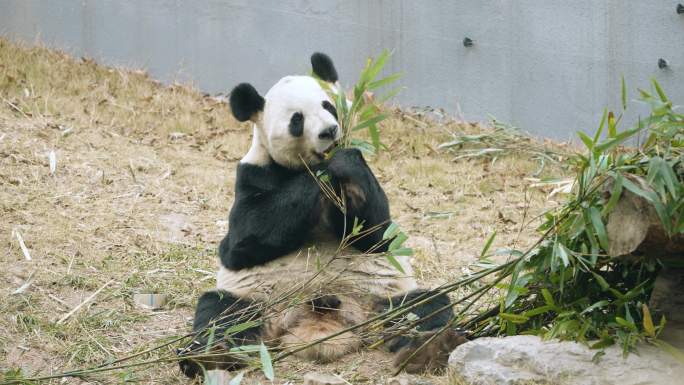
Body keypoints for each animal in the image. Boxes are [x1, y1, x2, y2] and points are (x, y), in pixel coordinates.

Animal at [178, 52, 464, 376]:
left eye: (328, 105)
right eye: (297, 119)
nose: (329, 131)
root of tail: (319, 326)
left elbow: (378, 234)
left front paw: (344, 162)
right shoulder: (252, 174)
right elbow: (242, 240)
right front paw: (324, 170)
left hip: (384, 300)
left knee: (425, 306)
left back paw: (429, 349)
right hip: (257, 303)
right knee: (221, 313)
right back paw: (210, 356)